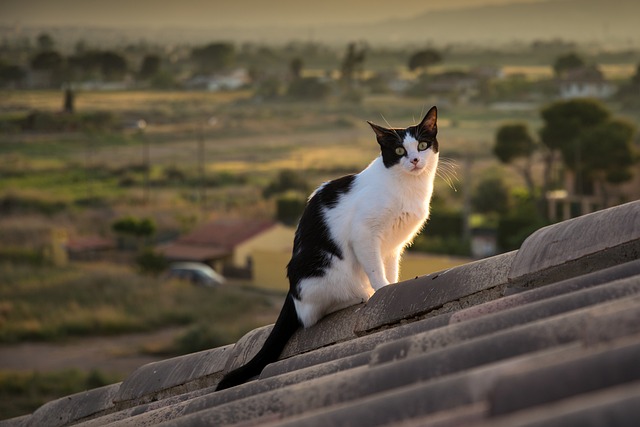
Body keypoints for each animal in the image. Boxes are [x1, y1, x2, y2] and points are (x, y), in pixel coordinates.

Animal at [215, 106, 440, 392]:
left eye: (422, 145)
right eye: (399, 150)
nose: (414, 160)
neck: (406, 186)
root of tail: (291, 291)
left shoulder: (392, 246)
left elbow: (390, 270)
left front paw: (393, 285)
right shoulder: (364, 235)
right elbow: (376, 271)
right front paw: (381, 290)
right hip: (324, 269)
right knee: (311, 313)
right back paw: (360, 295)